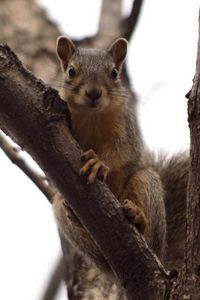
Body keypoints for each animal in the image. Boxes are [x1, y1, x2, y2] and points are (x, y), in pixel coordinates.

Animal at [52, 36, 189, 276]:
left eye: (115, 73)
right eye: (71, 71)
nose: (94, 93)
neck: (91, 115)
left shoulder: (125, 125)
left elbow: (122, 150)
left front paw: (98, 162)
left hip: (145, 182)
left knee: (150, 240)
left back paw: (139, 220)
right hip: (60, 208)